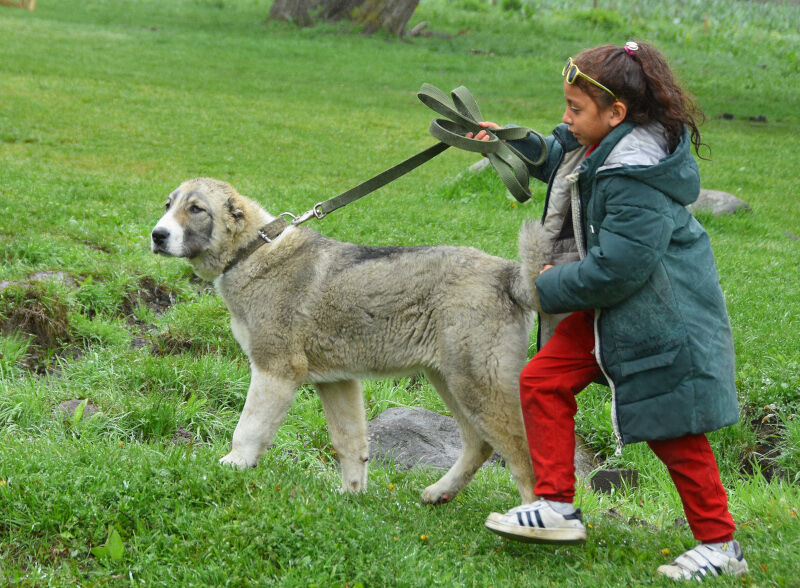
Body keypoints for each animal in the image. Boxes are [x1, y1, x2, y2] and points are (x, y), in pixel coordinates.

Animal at [152, 177, 548, 504]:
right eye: (167, 205)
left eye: (196, 209)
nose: (157, 234)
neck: (252, 250)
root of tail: (507, 273)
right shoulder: (338, 381)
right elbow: (350, 441)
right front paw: (351, 495)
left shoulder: (275, 369)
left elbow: (248, 427)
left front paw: (232, 464)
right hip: (451, 379)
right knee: (479, 444)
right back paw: (441, 492)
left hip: (479, 383)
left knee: (522, 452)